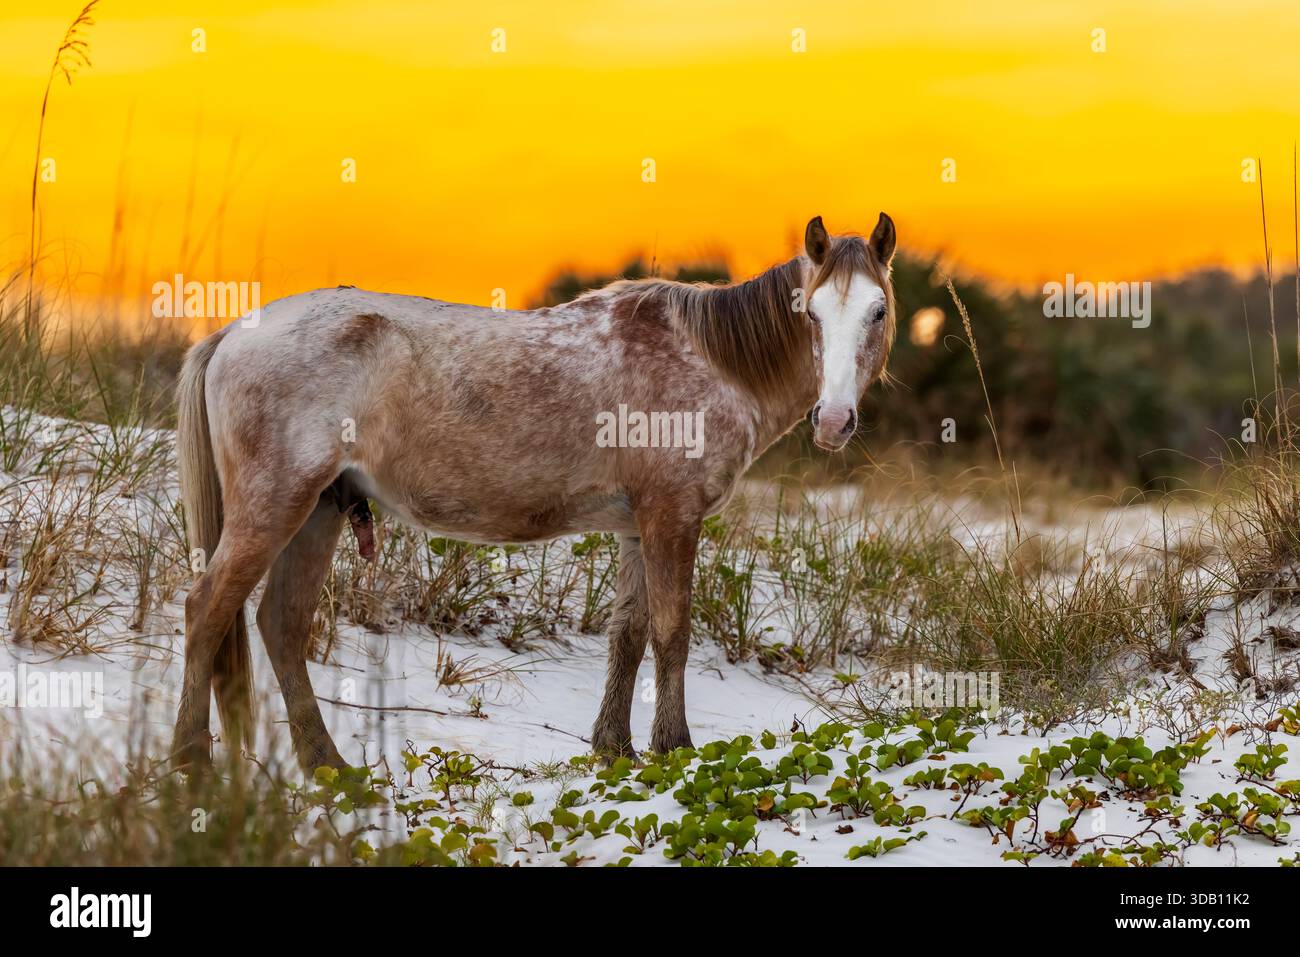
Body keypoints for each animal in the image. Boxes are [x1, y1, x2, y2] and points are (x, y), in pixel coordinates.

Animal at [170, 213, 897, 770]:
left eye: (878, 311)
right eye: (811, 312)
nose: (834, 420)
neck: (709, 359)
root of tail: (230, 335)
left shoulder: (637, 526)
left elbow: (629, 634)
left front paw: (615, 748)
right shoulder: (672, 518)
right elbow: (672, 632)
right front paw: (675, 748)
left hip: (319, 511)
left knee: (281, 625)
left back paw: (329, 768)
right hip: (275, 506)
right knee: (207, 610)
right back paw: (190, 761)